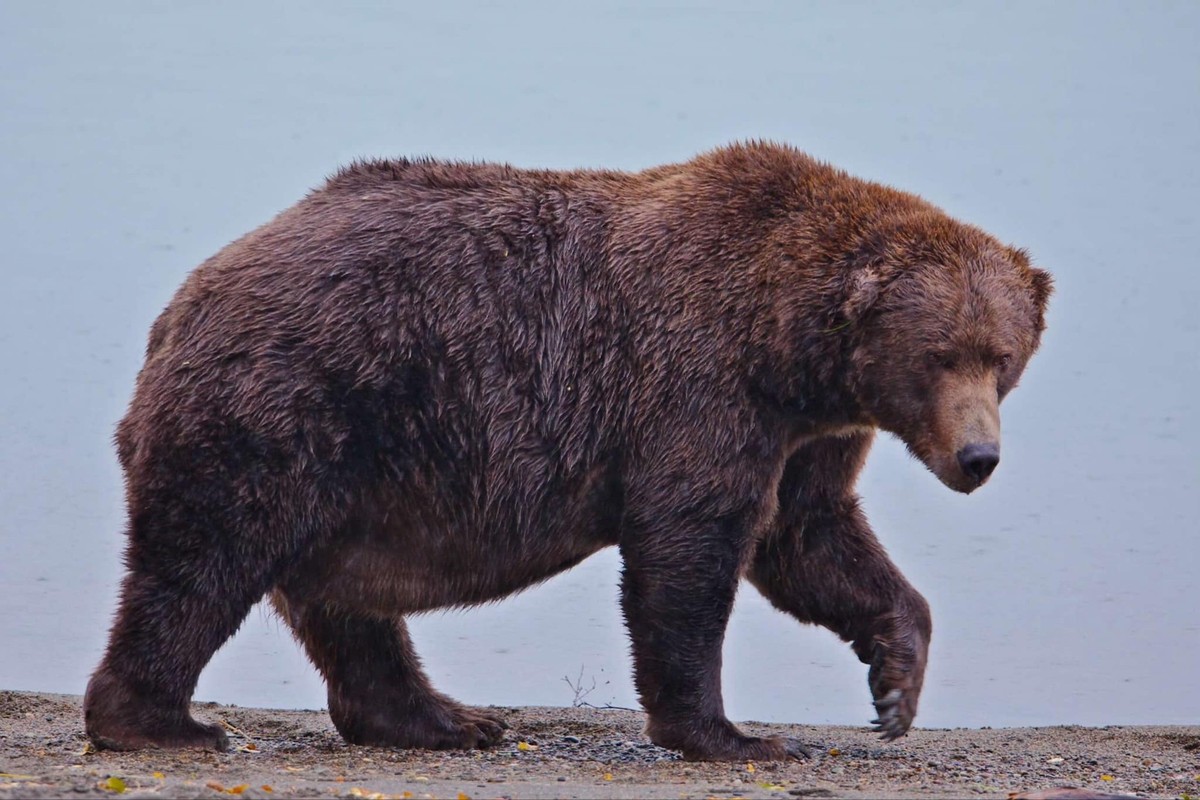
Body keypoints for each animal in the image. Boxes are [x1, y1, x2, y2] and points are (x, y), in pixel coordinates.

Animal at [84, 141, 1051, 761]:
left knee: (345, 605)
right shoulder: (698, 383)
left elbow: (810, 538)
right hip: (289, 405)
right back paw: (163, 722)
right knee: (203, 562)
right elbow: (691, 548)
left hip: (352, 468)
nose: (977, 457)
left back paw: (442, 720)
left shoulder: (810, 432)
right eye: (939, 355)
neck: (788, 345)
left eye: (1001, 357)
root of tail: (181, 304)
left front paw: (894, 686)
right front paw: (734, 736)